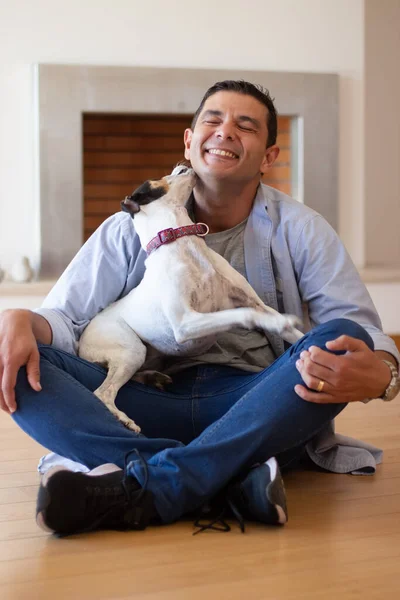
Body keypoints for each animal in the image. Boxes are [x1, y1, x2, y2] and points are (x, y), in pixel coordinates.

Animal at [79, 166, 304, 434]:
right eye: (156, 180)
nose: (183, 166)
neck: (183, 243)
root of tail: (80, 341)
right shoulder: (186, 323)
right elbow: (243, 314)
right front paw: (276, 322)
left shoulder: (253, 302)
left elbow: (283, 325)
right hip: (131, 350)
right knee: (103, 393)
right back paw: (123, 418)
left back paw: (152, 378)